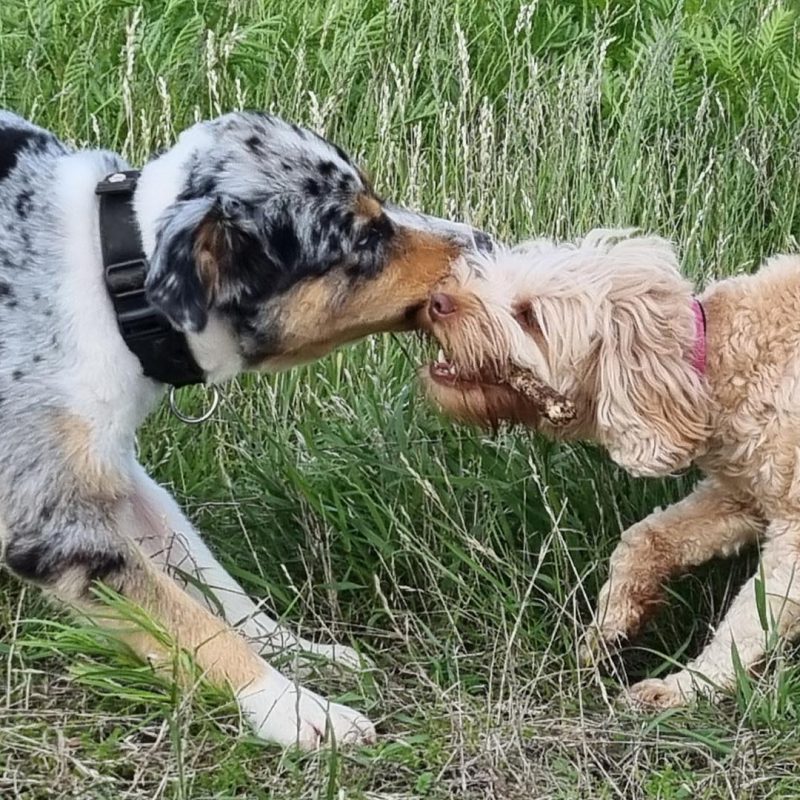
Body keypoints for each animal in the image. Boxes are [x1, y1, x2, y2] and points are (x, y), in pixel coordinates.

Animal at [0, 112, 488, 752]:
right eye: (364, 238)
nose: (486, 241)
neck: (117, 284)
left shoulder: (118, 473)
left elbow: (213, 581)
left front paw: (302, 652)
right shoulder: (56, 520)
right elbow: (191, 623)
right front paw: (295, 707)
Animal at [418, 230, 800, 708]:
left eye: (529, 317)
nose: (437, 300)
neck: (709, 366)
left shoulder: (793, 535)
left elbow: (752, 617)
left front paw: (687, 685)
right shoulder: (739, 495)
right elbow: (644, 538)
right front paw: (608, 628)